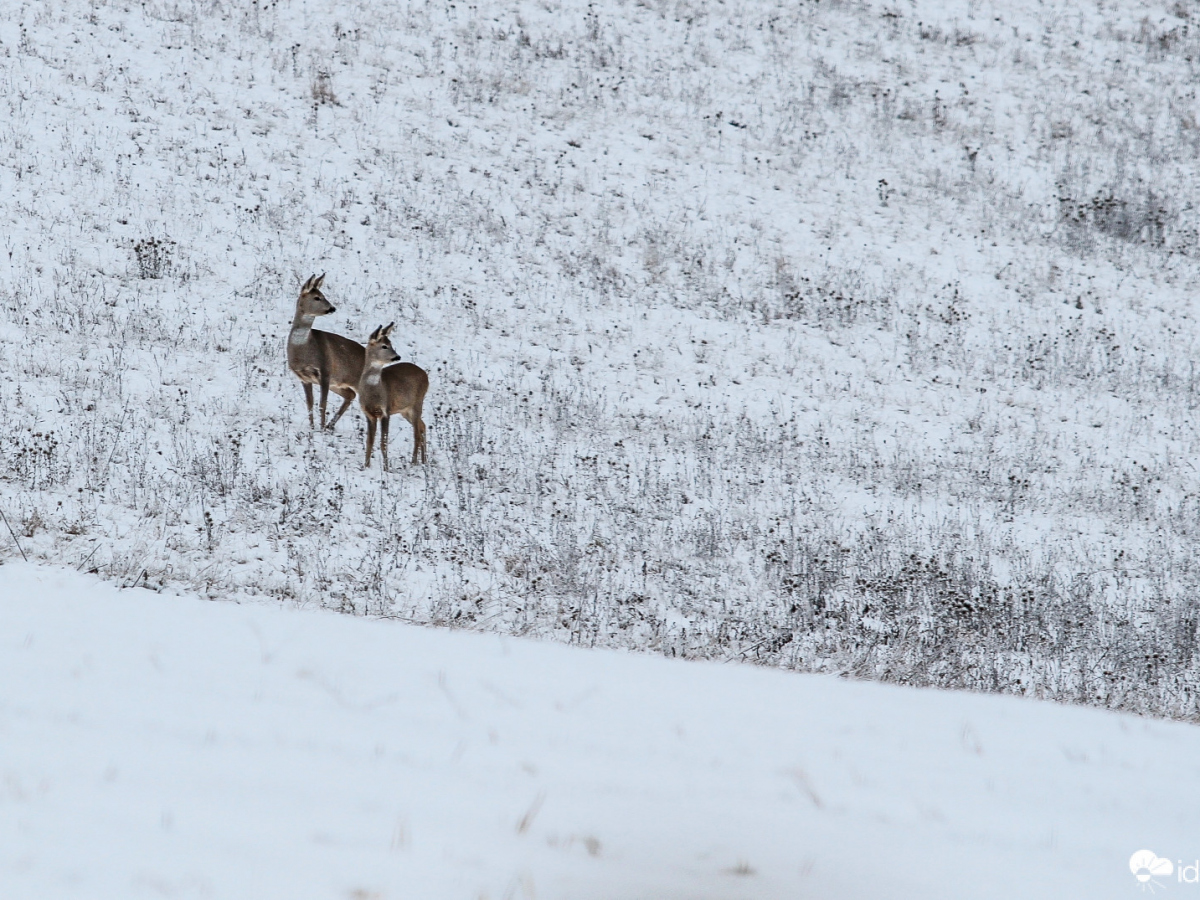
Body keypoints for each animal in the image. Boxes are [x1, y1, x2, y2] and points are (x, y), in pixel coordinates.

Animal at [286, 273, 364, 432]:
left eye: (323, 295)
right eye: (317, 297)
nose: (332, 308)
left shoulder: (325, 370)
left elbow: (322, 404)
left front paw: (320, 429)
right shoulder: (304, 378)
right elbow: (310, 404)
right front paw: (312, 428)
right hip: (339, 383)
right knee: (350, 394)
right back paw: (330, 426)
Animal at [357, 321, 429, 472]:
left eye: (391, 343)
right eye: (384, 346)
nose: (397, 357)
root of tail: (425, 374)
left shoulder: (386, 411)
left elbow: (383, 442)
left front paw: (386, 468)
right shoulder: (369, 414)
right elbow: (369, 441)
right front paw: (365, 466)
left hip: (418, 402)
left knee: (417, 434)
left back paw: (414, 462)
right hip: (405, 410)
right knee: (423, 426)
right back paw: (424, 461)